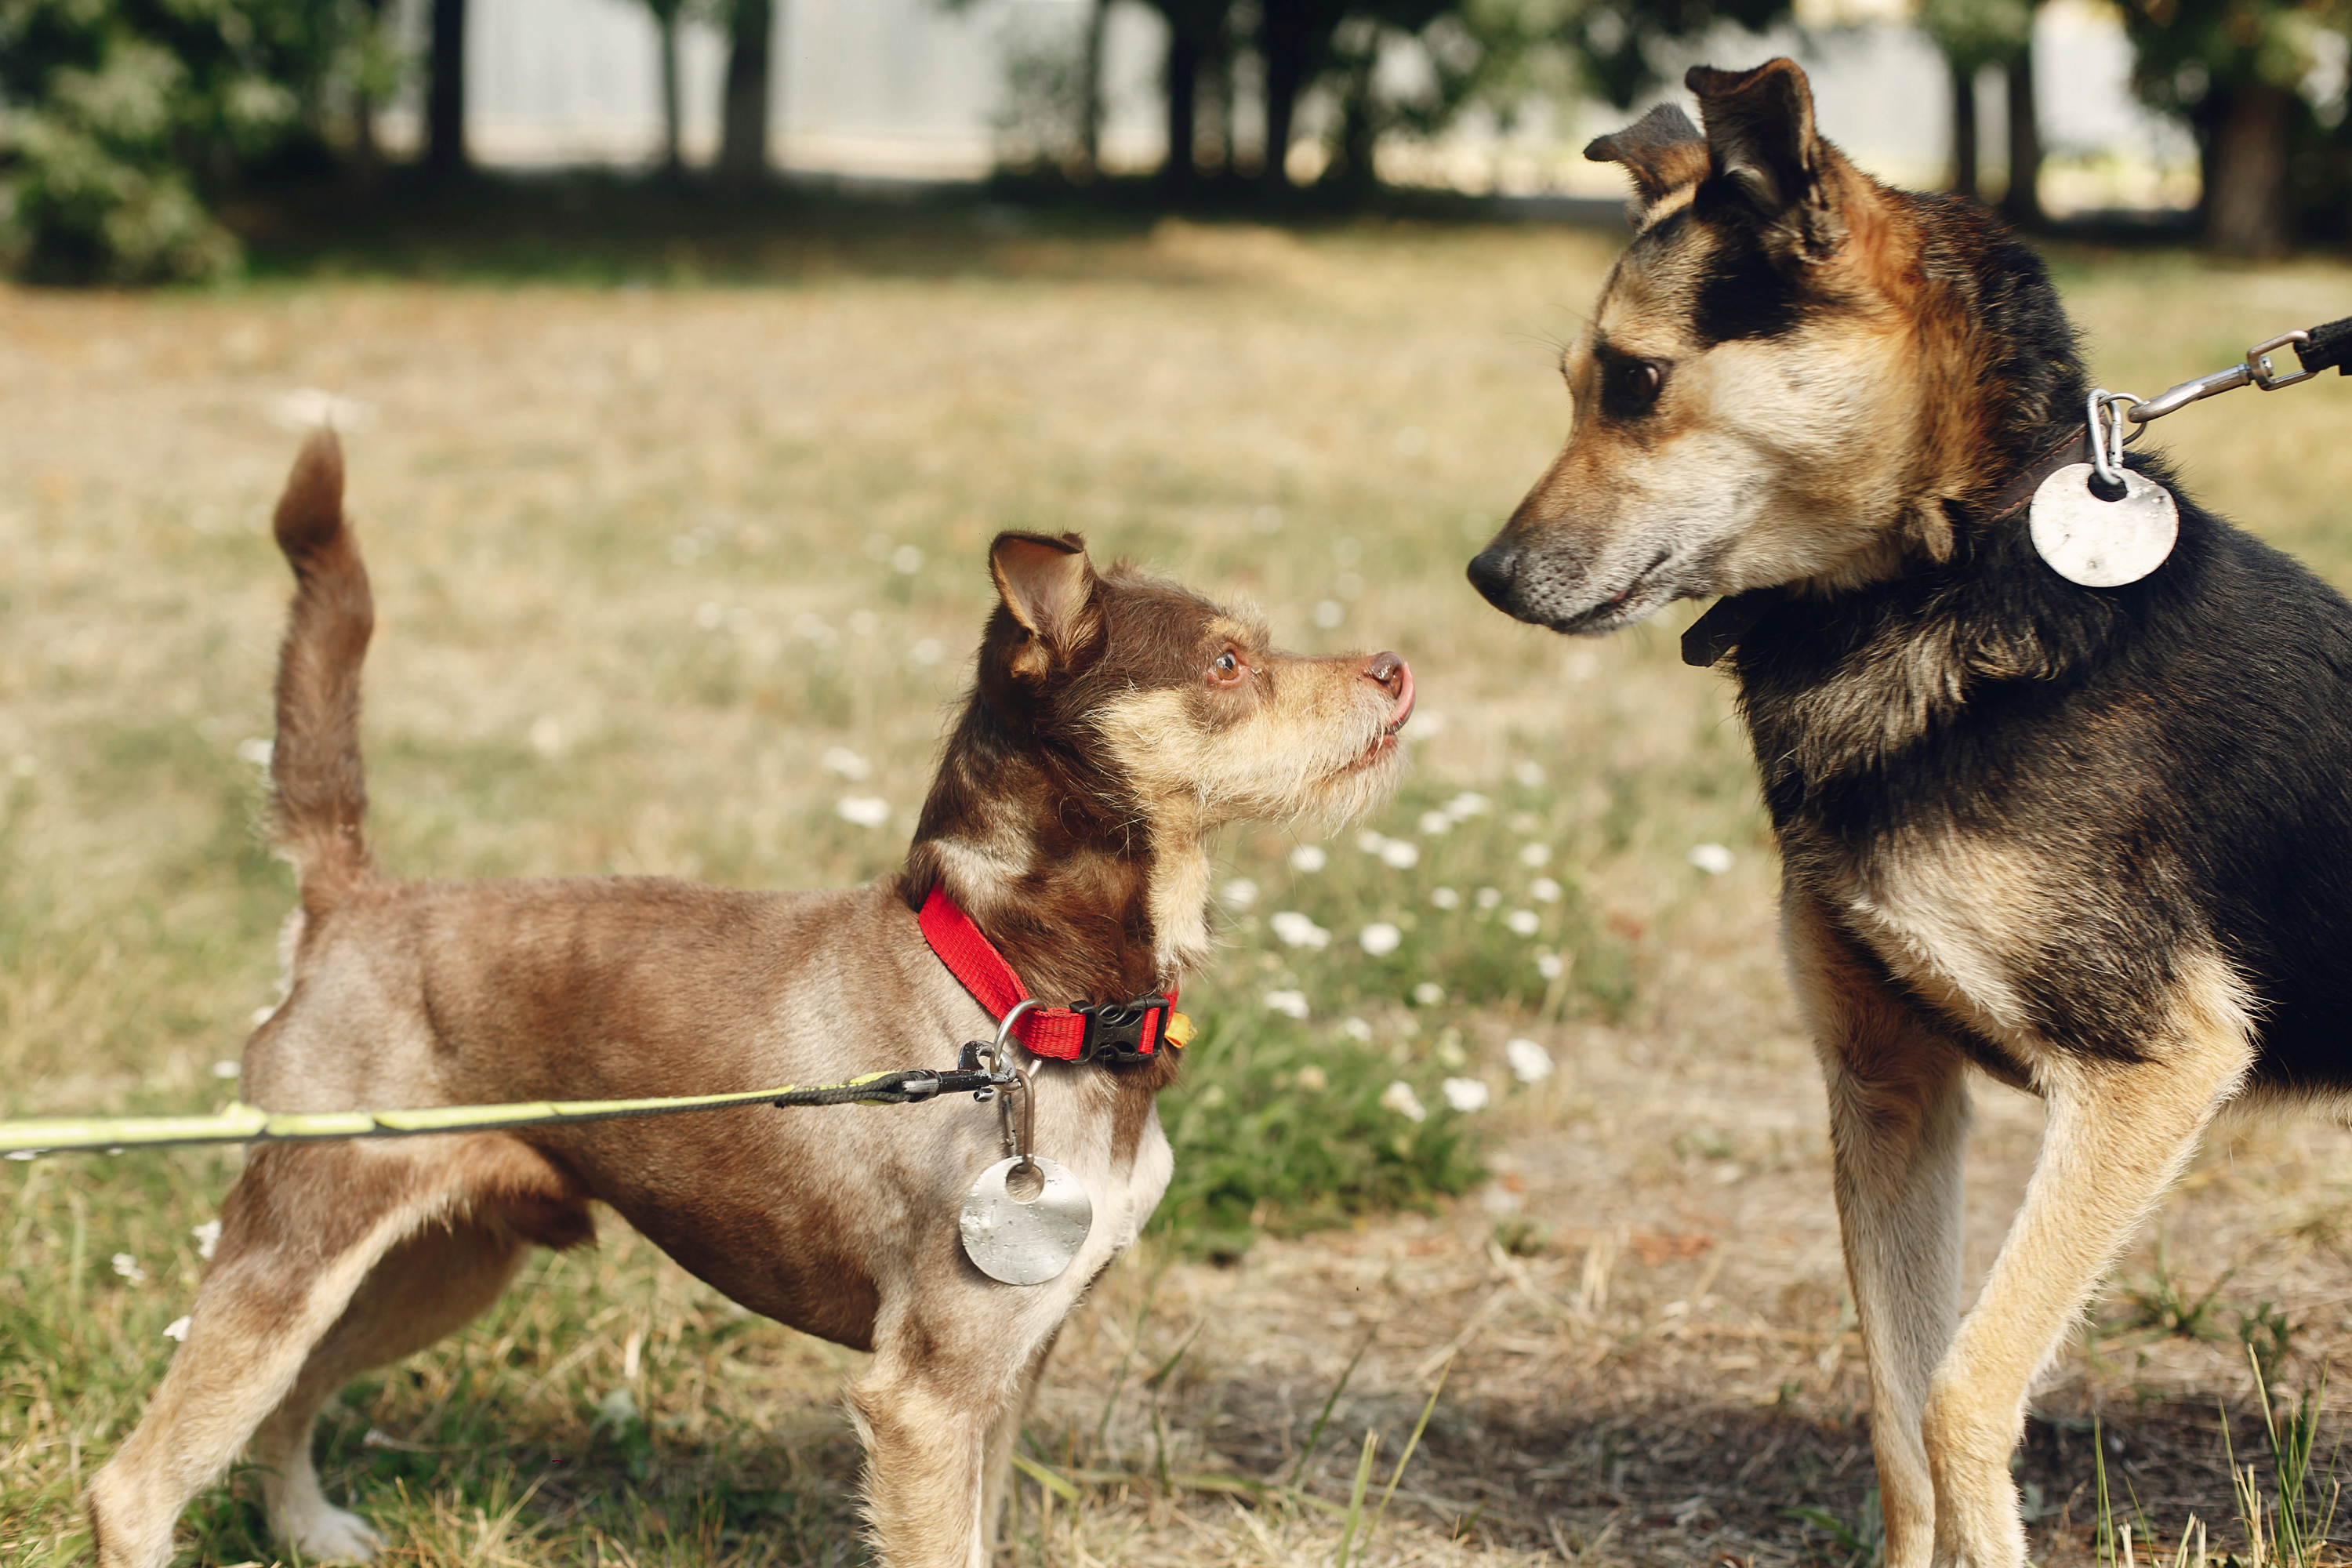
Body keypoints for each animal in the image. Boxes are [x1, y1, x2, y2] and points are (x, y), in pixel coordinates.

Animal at [1468, 55, 2352, 1568]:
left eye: (1636, 383)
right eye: (1576, 384)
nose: (1488, 576)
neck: (1943, 576)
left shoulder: (2152, 1068)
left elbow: (1962, 1391)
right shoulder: (1890, 1085)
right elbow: (1893, 1410)